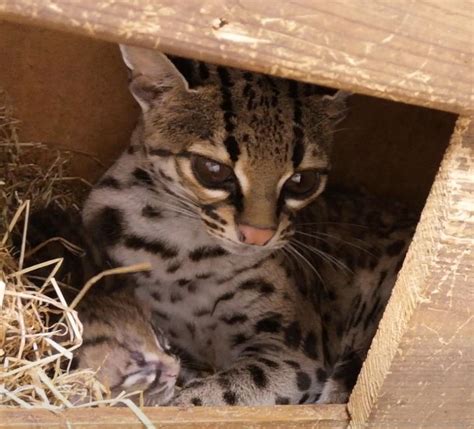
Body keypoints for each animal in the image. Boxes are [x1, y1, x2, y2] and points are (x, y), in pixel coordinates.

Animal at [79, 44, 412, 404]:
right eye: (212, 169)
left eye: (301, 181)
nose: (258, 236)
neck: (179, 251)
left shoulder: (295, 356)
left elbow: (208, 395)